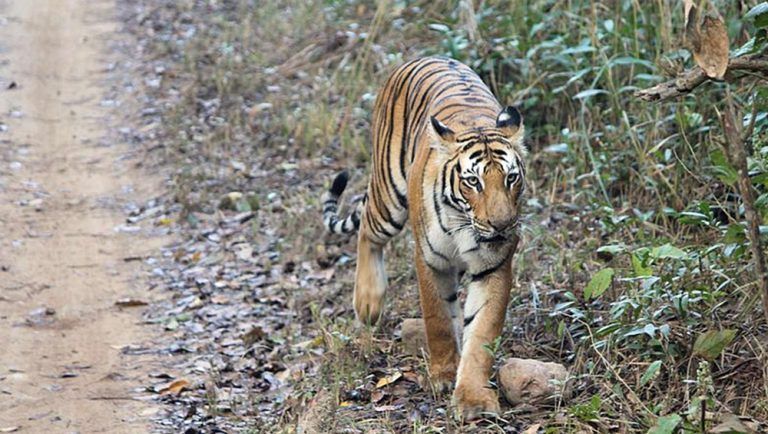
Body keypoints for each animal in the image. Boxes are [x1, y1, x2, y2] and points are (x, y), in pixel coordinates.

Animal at [320, 56, 524, 420]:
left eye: (511, 178)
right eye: (473, 182)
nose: (502, 225)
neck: (466, 226)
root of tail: (425, 57)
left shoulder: (494, 267)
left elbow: (481, 333)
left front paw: (473, 398)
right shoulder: (430, 260)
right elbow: (437, 319)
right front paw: (444, 375)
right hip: (388, 196)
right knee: (366, 227)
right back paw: (368, 302)